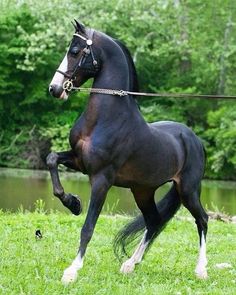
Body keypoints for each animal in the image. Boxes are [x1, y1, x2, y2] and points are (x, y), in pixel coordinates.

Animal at [48, 20, 208, 284]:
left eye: (75, 51)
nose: (55, 89)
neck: (106, 117)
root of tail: (195, 140)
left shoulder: (101, 179)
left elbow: (88, 226)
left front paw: (72, 271)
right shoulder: (78, 161)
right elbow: (51, 159)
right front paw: (73, 203)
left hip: (188, 190)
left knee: (202, 219)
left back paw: (201, 269)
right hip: (142, 190)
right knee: (153, 221)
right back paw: (130, 264)